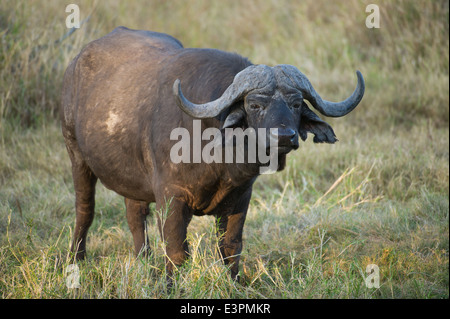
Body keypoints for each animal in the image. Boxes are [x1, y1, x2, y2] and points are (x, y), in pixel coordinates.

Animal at [61, 27, 364, 282]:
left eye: (297, 104)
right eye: (254, 105)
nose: (284, 136)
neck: (219, 158)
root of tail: (76, 63)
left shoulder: (240, 198)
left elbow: (230, 247)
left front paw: (235, 283)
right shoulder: (171, 198)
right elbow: (177, 250)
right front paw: (171, 286)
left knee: (135, 217)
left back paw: (143, 264)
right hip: (76, 155)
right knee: (85, 210)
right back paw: (76, 260)